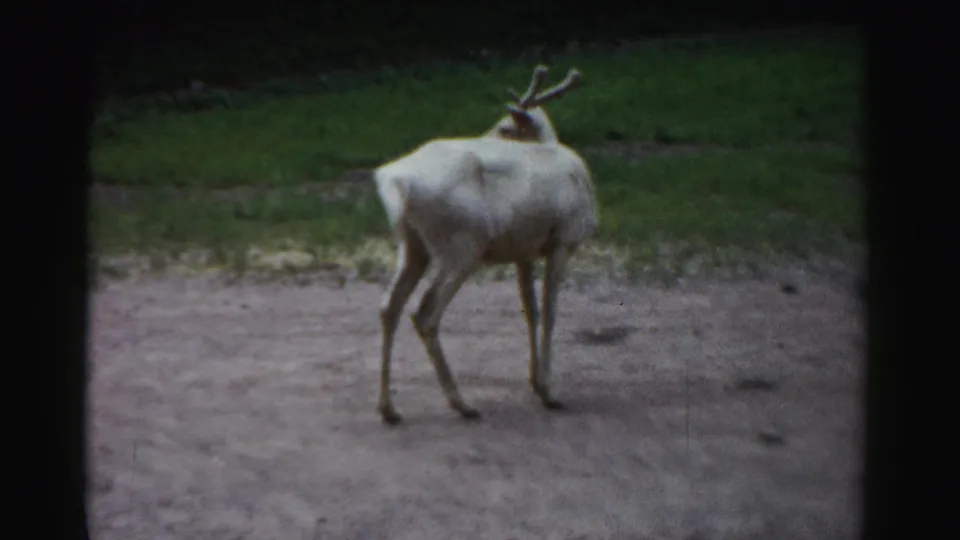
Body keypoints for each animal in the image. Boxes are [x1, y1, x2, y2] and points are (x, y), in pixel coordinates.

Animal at [373, 65, 598, 425]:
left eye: (505, 127)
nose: (484, 134)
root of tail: (393, 182)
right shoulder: (565, 238)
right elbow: (550, 312)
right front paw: (549, 391)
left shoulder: (523, 251)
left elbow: (531, 311)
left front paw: (534, 382)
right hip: (461, 244)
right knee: (424, 312)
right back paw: (461, 404)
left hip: (411, 245)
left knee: (388, 307)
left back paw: (389, 409)